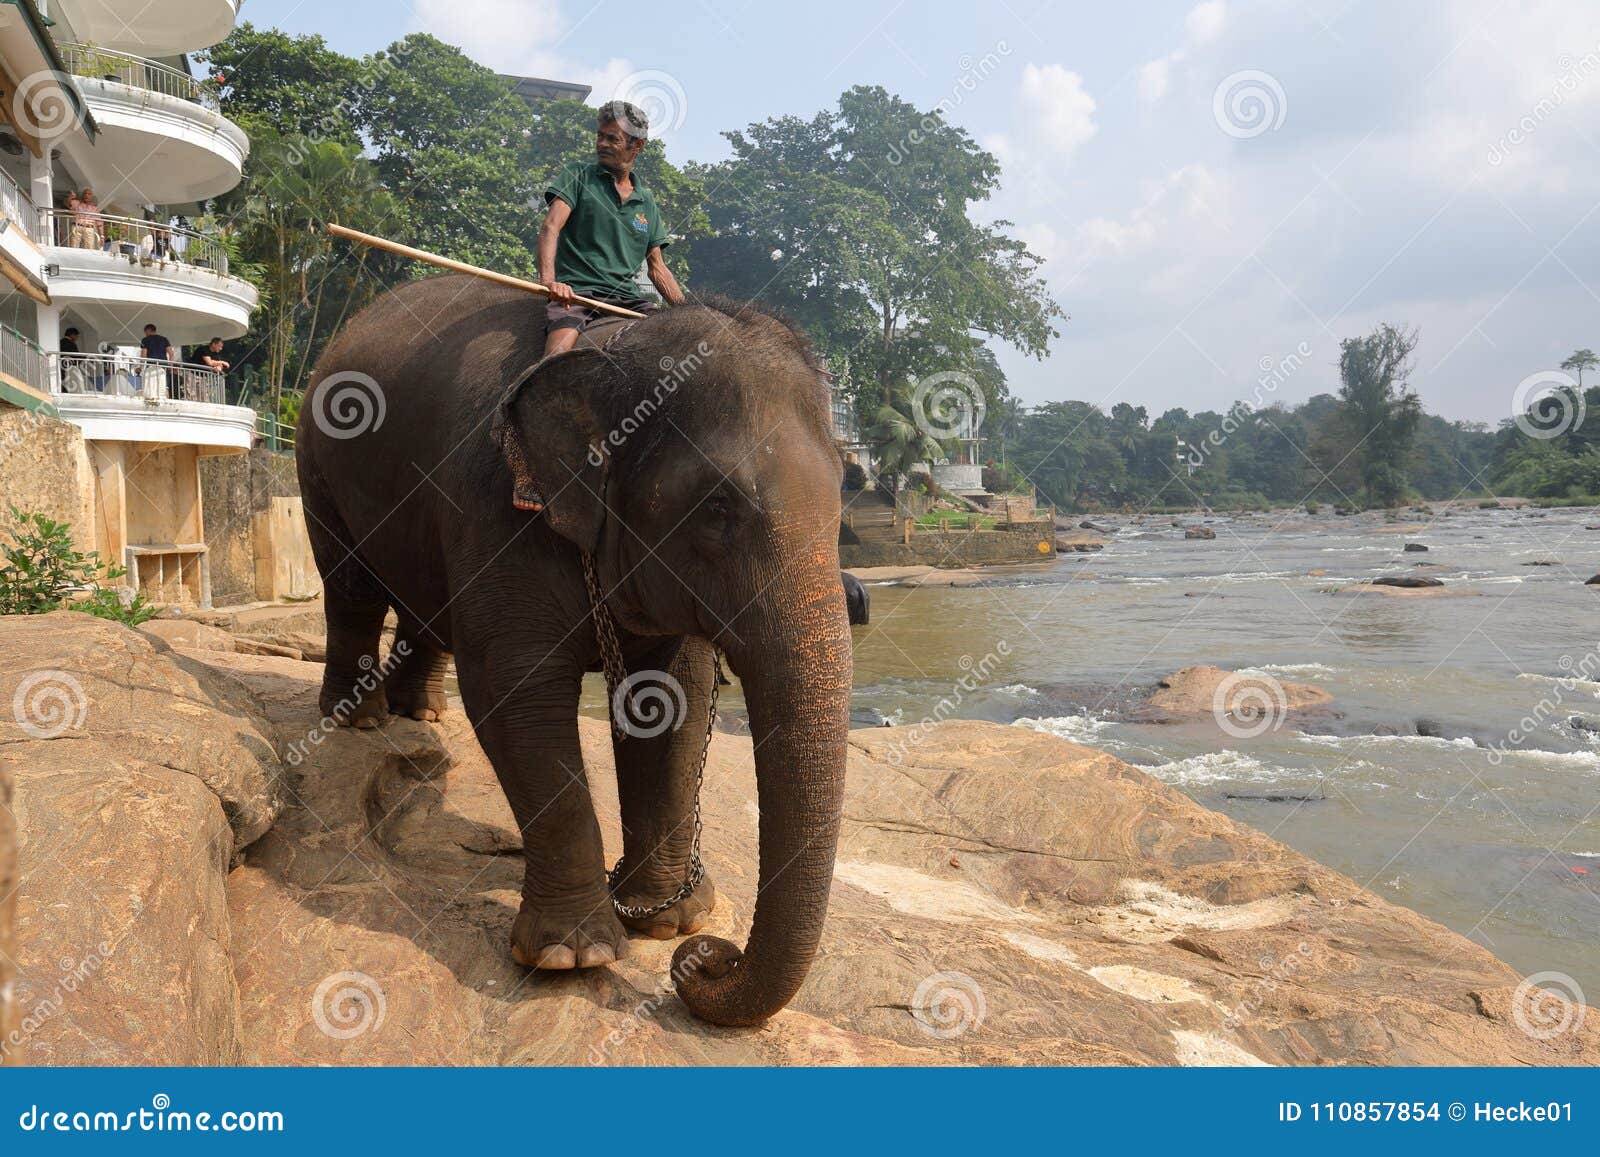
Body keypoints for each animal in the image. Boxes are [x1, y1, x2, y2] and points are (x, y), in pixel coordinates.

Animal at [296, 276, 851, 1026]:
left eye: (845, 491)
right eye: (717, 507)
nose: (709, 958)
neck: (620, 349)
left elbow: (674, 697)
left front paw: (668, 919)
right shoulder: (498, 506)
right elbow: (515, 692)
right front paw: (574, 955)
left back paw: (424, 714)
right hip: (317, 456)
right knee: (350, 585)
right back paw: (361, 718)